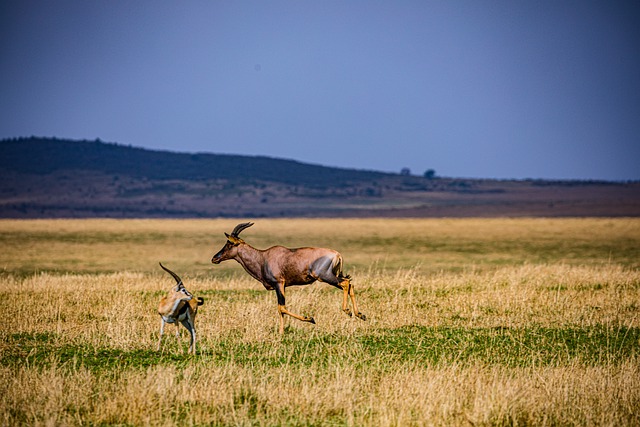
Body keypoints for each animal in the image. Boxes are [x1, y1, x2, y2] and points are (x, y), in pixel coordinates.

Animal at [211, 222, 364, 336]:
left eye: (230, 243)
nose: (214, 258)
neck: (263, 257)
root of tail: (337, 254)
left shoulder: (279, 283)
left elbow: (282, 308)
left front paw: (310, 319)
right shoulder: (281, 286)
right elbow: (280, 308)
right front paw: (281, 333)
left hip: (325, 277)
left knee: (346, 283)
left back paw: (348, 311)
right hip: (332, 276)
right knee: (350, 285)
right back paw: (360, 314)